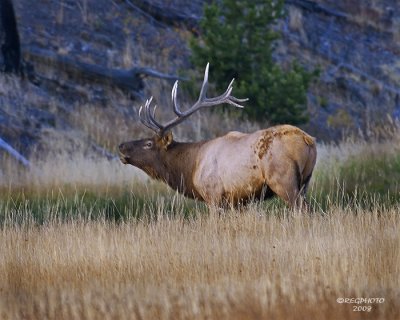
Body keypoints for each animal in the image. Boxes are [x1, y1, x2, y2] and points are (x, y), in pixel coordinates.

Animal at [117, 64, 318, 209]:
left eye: (148, 143)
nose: (121, 146)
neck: (190, 168)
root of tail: (309, 141)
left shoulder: (213, 195)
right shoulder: (237, 202)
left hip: (283, 179)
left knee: (302, 209)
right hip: (305, 182)